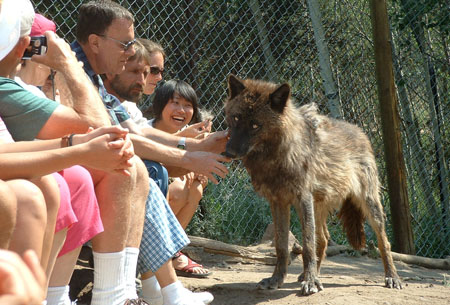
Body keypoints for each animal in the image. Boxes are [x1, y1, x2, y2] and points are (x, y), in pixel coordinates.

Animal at [223, 74, 402, 294]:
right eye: (236, 118)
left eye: (256, 125)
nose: (228, 152)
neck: (275, 158)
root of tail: (360, 131)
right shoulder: (278, 202)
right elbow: (281, 246)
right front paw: (277, 279)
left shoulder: (302, 198)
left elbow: (307, 244)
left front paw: (311, 282)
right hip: (318, 207)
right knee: (323, 239)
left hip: (368, 204)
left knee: (384, 241)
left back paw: (392, 277)